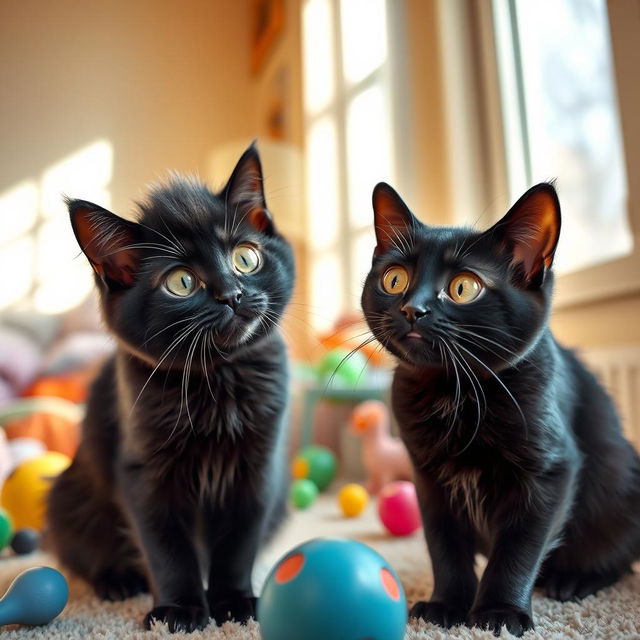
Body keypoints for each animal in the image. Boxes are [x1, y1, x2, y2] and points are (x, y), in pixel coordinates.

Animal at [47, 144, 296, 632]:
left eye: (245, 258)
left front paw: (234, 603)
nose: (232, 294)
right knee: (86, 550)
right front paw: (180, 610)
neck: (217, 380)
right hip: (68, 497)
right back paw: (118, 581)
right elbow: (166, 549)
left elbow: (237, 543)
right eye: (182, 282)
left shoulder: (257, 471)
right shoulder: (143, 474)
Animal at [360, 180, 640, 636]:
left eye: (463, 287)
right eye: (394, 278)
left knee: (617, 556)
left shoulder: (549, 471)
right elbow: (445, 544)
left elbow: (518, 548)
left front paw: (499, 612)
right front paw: (447, 605)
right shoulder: (428, 478)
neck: (456, 392)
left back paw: (574, 579)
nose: (412, 308)